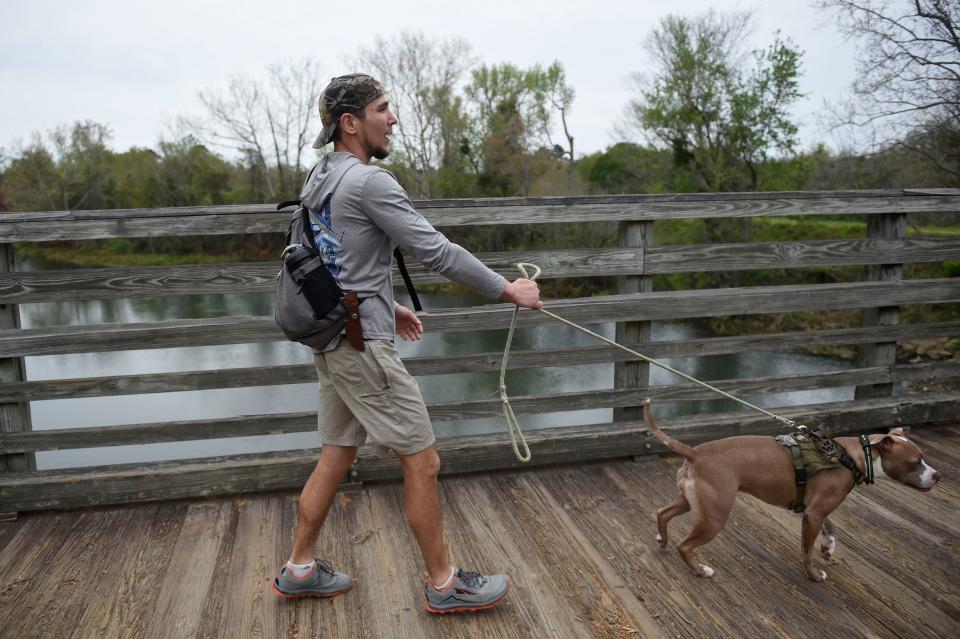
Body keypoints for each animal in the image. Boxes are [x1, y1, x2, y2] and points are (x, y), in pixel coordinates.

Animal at [640, 402, 940, 584]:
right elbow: (806, 551)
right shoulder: (815, 512)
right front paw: (814, 574)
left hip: (691, 502)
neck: (853, 456)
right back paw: (700, 570)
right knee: (684, 545)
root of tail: (695, 452)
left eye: (923, 457)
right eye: (916, 461)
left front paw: (828, 547)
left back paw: (661, 539)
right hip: (714, 516)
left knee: (662, 513)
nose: (938, 475)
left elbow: (830, 527)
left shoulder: (813, 509)